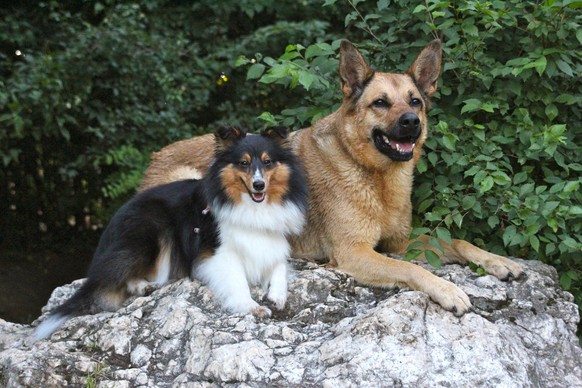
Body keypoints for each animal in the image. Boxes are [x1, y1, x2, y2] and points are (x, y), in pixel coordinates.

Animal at [35, 127, 310, 340]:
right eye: (243, 163)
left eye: (267, 161)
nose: (259, 185)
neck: (250, 206)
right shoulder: (217, 254)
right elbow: (237, 281)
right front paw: (252, 307)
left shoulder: (272, 243)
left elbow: (279, 267)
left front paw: (276, 295)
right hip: (150, 234)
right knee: (113, 276)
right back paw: (142, 285)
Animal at [140, 39, 524, 316]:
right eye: (380, 103)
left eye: (415, 101)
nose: (411, 123)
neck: (374, 176)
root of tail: (154, 157)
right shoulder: (355, 252)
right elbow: (415, 271)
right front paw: (449, 290)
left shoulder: (400, 242)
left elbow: (458, 242)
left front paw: (500, 262)